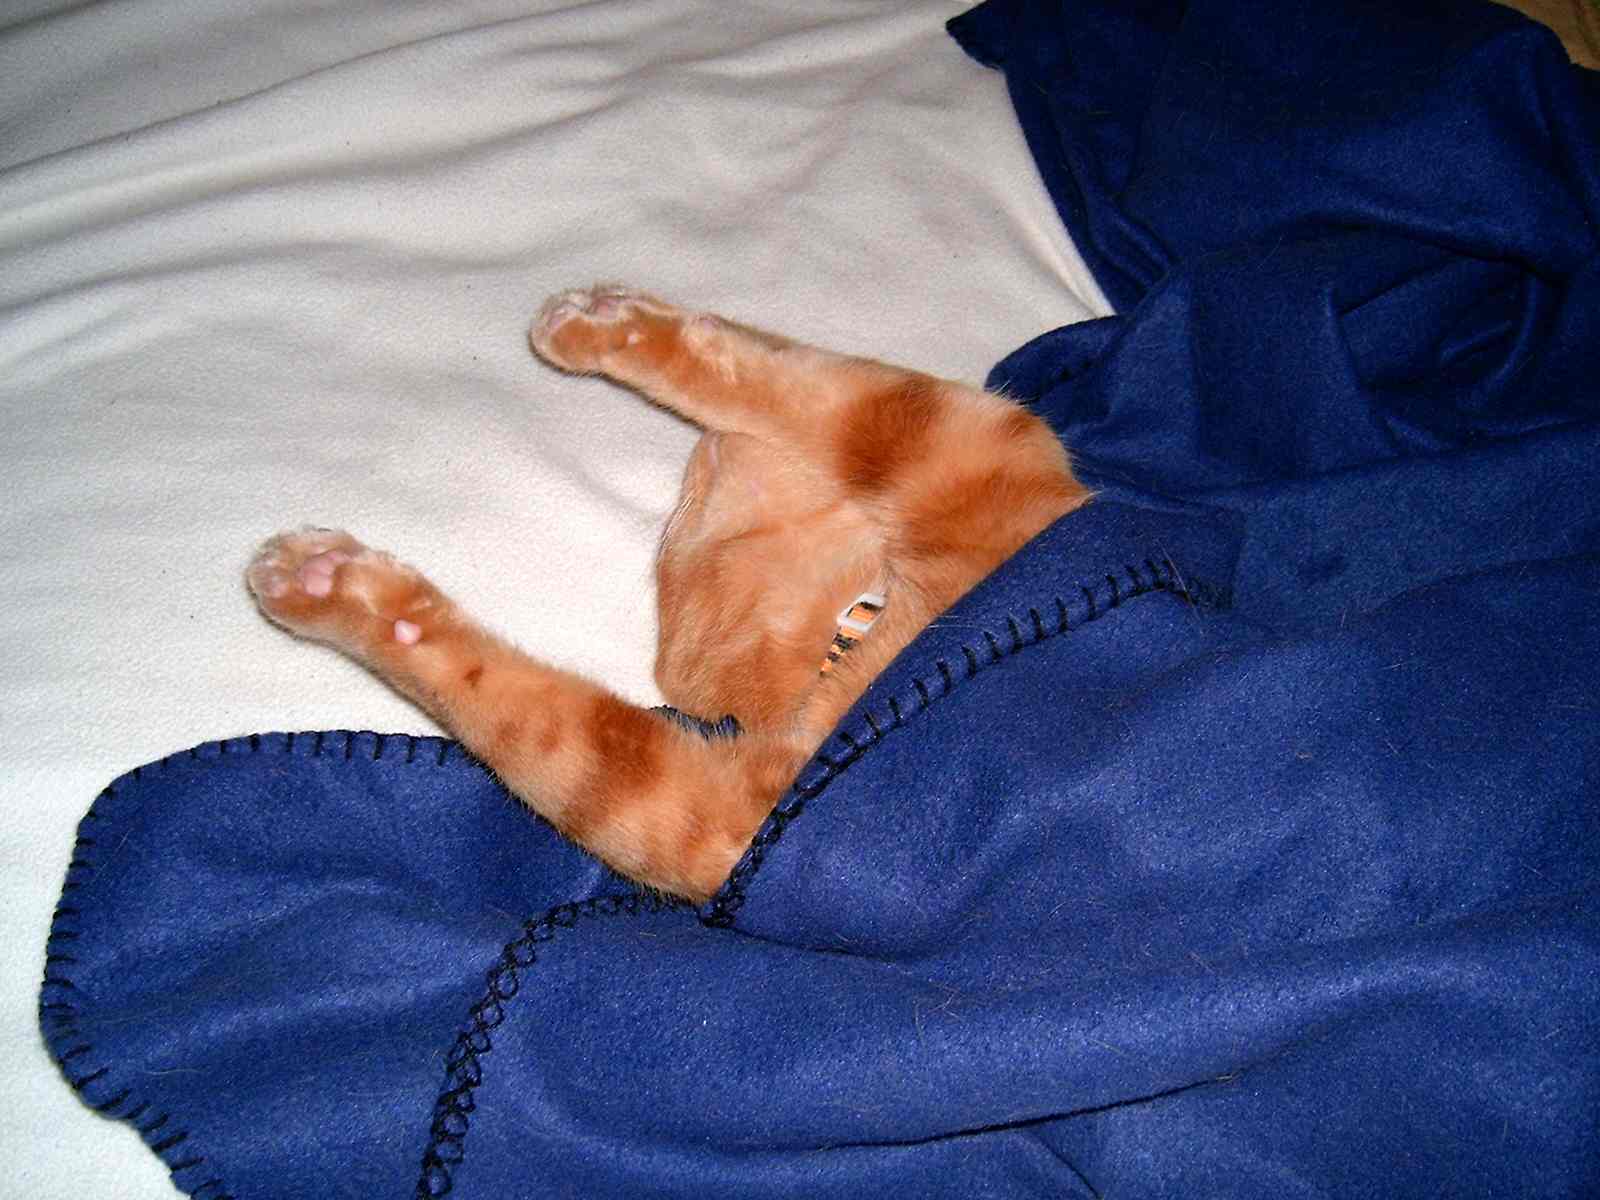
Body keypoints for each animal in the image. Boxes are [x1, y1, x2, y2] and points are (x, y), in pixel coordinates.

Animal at [247, 285, 1090, 900]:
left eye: (672, 531)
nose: (700, 452)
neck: (863, 636)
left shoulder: (717, 826)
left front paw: (333, 592)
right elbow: (780, 363)